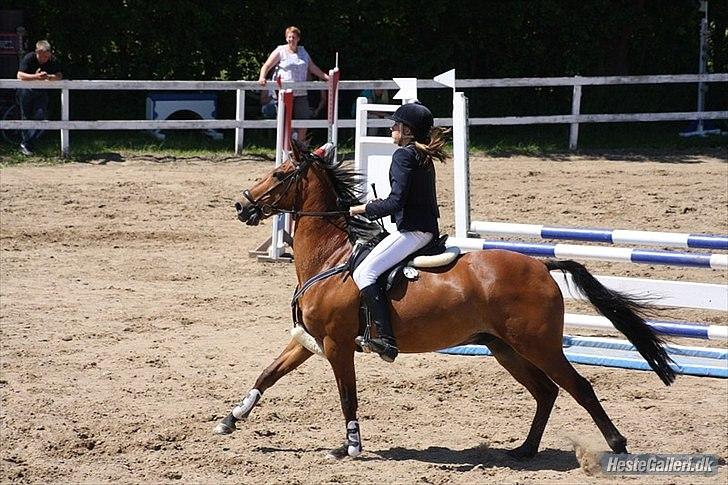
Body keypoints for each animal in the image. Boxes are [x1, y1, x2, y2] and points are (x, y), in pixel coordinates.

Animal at [214, 141, 675, 460]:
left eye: (279, 174)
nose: (240, 205)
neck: (331, 256)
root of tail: (542, 266)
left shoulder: (336, 344)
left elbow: (348, 395)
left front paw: (350, 446)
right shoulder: (309, 339)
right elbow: (268, 374)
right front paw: (229, 420)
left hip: (538, 344)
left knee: (578, 386)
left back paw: (616, 443)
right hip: (505, 347)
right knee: (545, 392)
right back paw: (524, 449)